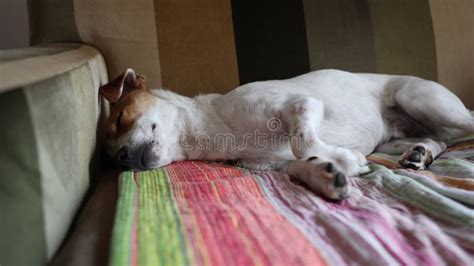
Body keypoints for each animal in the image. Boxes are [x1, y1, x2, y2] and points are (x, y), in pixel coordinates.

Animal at [100, 68, 474, 200]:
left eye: (119, 119)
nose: (121, 159)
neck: (214, 129)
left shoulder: (301, 105)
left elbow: (302, 143)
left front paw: (346, 159)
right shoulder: (269, 164)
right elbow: (298, 162)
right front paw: (326, 173)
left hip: (419, 98)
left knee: (467, 123)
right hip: (396, 139)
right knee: (439, 139)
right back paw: (420, 154)